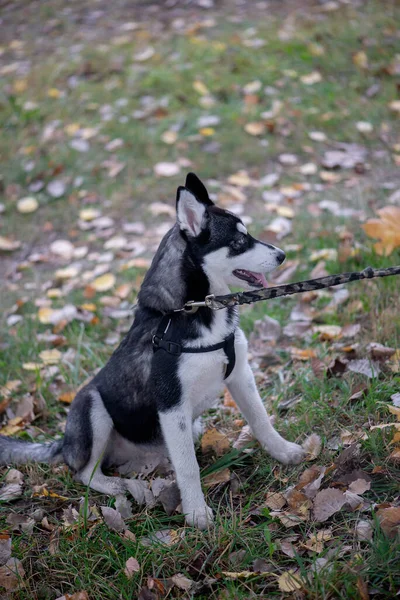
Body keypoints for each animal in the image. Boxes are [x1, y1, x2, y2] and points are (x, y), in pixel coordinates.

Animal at [0, 173, 304, 528]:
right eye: (239, 242)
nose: (282, 255)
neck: (193, 310)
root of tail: (63, 443)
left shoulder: (240, 374)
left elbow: (261, 420)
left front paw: (284, 451)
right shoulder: (171, 403)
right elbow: (188, 467)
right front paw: (196, 513)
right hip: (91, 406)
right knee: (84, 472)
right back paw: (118, 484)